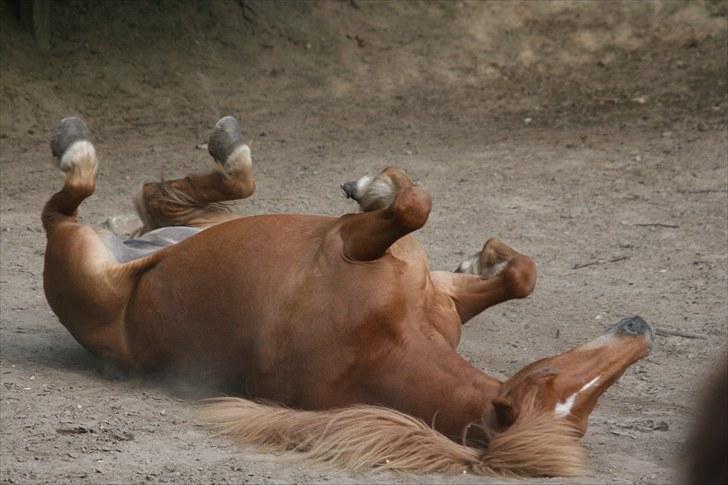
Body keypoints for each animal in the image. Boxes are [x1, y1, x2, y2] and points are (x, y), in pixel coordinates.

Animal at [41, 115, 656, 474]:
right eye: (551, 372)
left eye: (586, 407)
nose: (640, 329)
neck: (384, 340)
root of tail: (122, 257)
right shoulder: (415, 279)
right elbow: (508, 264)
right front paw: (477, 252)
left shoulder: (364, 252)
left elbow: (420, 209)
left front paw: (376, 188)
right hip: (194, 229)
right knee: (164, 197)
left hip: (82, 259)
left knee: (74, 202)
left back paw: (84, 148)